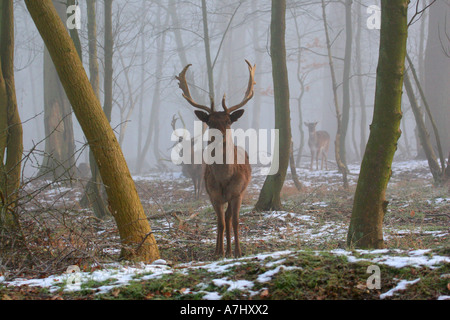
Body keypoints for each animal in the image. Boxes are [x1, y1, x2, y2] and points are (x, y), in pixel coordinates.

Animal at [176, 59, 255, 258]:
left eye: (228, 121)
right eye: (210, 122)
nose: (219, 138)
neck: (224, 179)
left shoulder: (238, 193)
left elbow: (235, 221)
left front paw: (238, 251)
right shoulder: (213, 195)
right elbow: (219, 223)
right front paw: (218, 251)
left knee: (229, 218)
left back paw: (230, 249)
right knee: (223, 220)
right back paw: (223, 249)